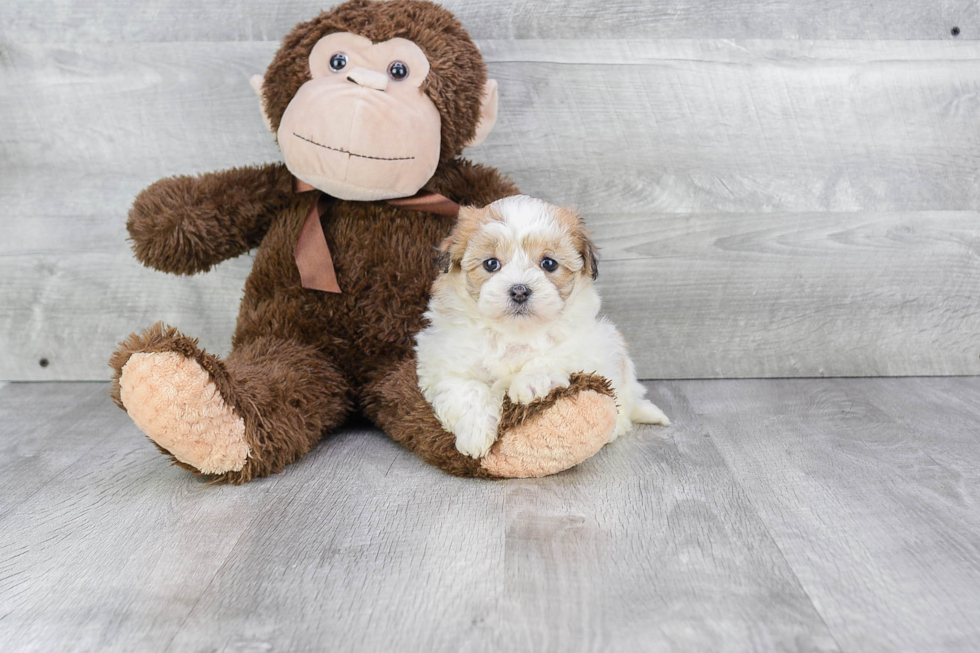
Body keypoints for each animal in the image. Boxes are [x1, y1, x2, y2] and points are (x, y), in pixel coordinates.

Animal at [414, 195, 668, 458]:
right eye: (491, 264)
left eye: (548, 263)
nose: (519, 290)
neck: (514, 333)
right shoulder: (442, 359)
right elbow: (467, 388)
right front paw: (476, 435)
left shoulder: (590, 342)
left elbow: (553, 355)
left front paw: (532, 383)